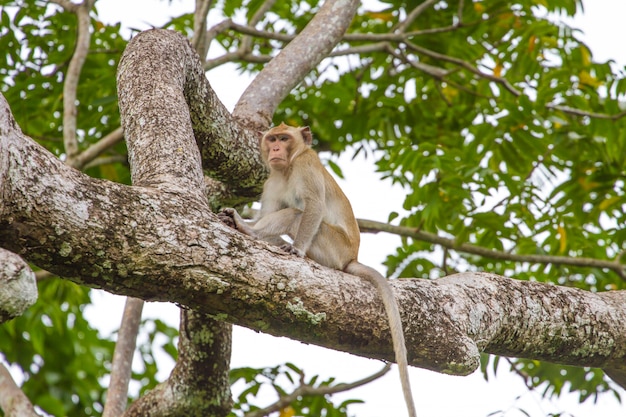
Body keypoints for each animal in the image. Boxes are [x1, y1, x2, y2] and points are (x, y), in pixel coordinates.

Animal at [219, 122, 414, 416]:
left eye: (284, 138)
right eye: (272, 139)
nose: (275, 150)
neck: (289, 166)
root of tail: (351, 257)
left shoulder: (306, 165)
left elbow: (313, 206)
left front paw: (295, 249)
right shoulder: (272, 180)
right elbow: (268, 211)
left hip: (332, 246)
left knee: (297, 214)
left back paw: (249, 229)